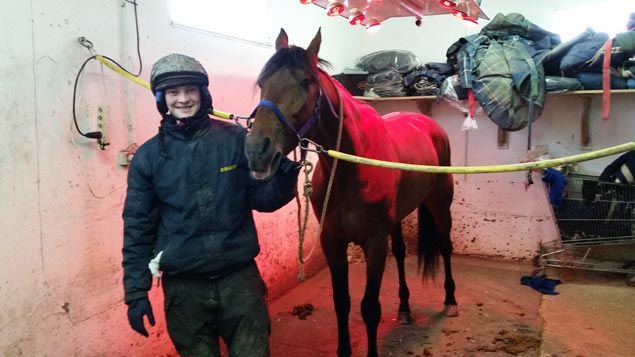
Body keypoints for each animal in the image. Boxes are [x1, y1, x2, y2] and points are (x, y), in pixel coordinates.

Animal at [243, 28, 458, 356]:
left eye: (305, 81)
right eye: (263, 82)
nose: (257, 151)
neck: (350, 166)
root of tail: (430, 124)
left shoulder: (374, 242)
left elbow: (370, 308)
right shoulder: (333, 241)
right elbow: (341, 303)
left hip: (439, 204)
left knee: (445, 247)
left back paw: (450, 300)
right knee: (400, 253)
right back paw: (405, 307)